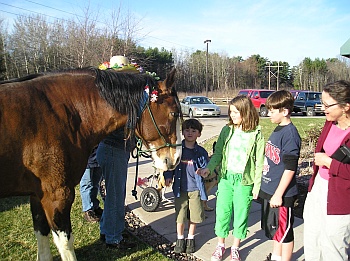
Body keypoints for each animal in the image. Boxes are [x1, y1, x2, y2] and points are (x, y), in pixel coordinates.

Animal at [0, 67, 182, 260]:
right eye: (174, 113)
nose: (177, 158)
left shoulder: (37, 194)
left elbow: (42, 235)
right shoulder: (57, 195)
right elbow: (65, 242)